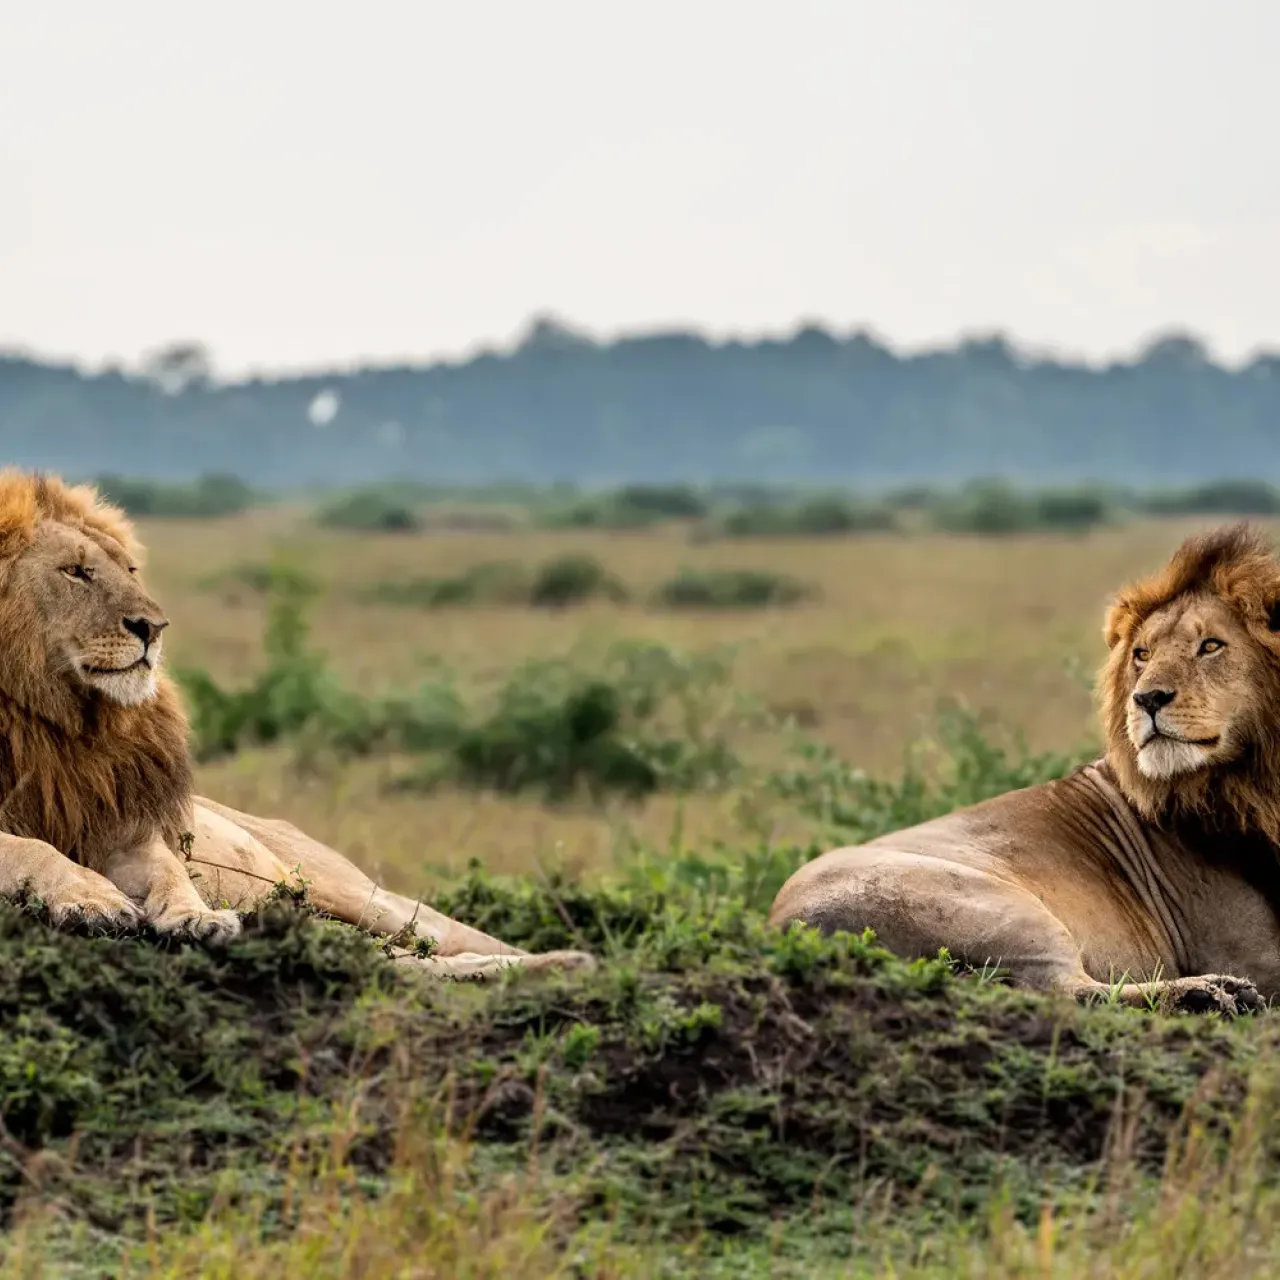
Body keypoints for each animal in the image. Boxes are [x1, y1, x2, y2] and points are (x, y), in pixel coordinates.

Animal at [0, 470, 592, 979]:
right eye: (75, 571)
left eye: (129, 570)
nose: (154, 627)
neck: (59, 719)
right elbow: (31, 848)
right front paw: (93, 897)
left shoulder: (123, 825)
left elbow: (169, 870)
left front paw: (197, 916)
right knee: (405, 960)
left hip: (357, 894)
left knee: (440, 939)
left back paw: (572, 962)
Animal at [768, 523, 1280, 1015]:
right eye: (1143, 654)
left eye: (1210, 646)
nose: (1147, 698)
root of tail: (782, 923)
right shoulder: (1246, 952)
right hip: (1000, 908)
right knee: (1071, 991)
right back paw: (1209, 994)